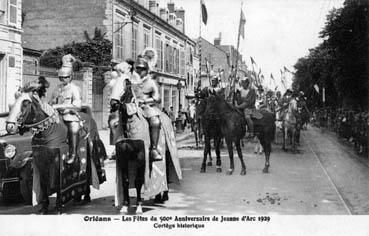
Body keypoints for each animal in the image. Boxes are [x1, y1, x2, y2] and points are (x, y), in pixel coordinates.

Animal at [111, 82, 182, 215]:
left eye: (123, 85)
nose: (113, 104)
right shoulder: (123, 158)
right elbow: (125, 181)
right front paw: (125, 206)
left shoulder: (140, 157)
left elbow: (138, 181)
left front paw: (139, 207)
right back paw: (158, 197)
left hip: (166, 153)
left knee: (166, 173)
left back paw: (164, 196)